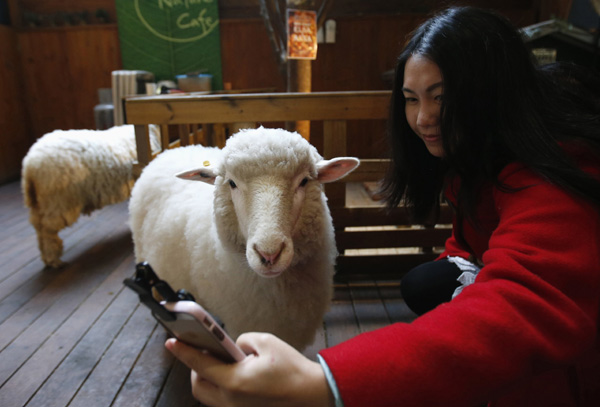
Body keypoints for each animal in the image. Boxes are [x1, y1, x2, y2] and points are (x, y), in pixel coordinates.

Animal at [22, 126, 161, 270]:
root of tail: (30, 166)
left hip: (41, 204)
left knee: (39, 228)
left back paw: (46, 258)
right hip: (57, 202)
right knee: (47, 231)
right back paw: (53, 259)